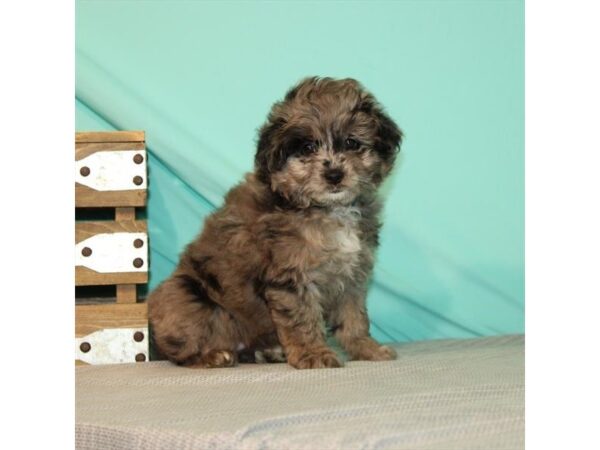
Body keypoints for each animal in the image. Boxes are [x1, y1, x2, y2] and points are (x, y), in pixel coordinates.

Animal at [148, 75, 406, 368]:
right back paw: (212, 356)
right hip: (187, 297)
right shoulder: (291, 275)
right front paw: (314, 354)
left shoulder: (353, 273)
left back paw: (268, 352)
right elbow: (302, 318)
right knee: (180, 351)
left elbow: (354, 317)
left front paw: (366, 348)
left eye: (351, 143)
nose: (334, 175)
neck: (326, 209)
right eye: (307, 148)